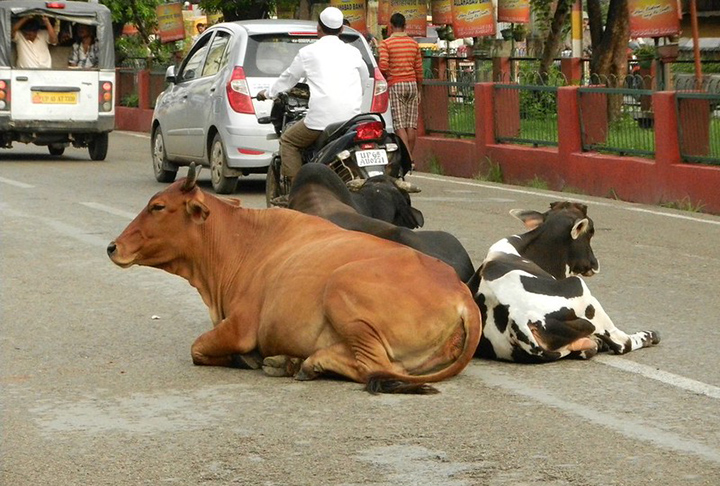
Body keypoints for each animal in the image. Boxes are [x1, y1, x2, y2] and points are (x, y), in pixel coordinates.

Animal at [470, 199, 660, 362]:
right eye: (591, 231)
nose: (594, 263)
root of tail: (518, 320)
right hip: (581, 289)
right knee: (621, 342)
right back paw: (649, 335)